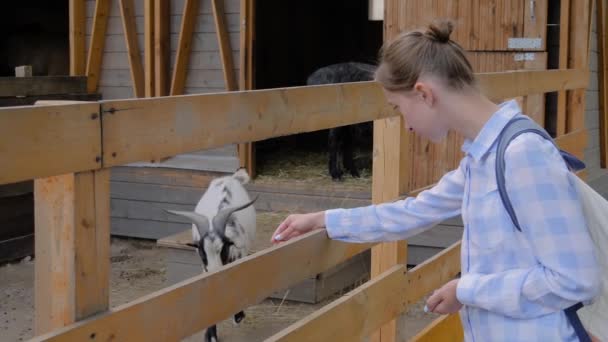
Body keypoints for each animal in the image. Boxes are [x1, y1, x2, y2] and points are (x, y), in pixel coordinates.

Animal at [165, 168, 255, 342]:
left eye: (224, 248)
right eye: (202, 251)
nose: (215, 274)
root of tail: (230, 178)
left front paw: (238, 316)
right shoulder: (205, 269)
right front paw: (211, 335)